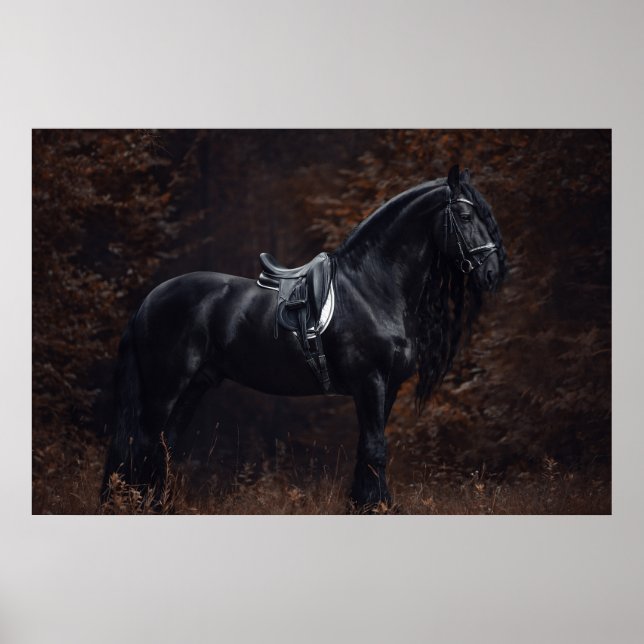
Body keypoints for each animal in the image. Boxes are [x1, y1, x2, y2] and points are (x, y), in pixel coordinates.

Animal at [101, 164, 507, 510]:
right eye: (466, 216)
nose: (492, 272)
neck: (372, 287)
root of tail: (149, 301)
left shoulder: (386, 387)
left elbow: (368, 447)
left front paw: (364, 505)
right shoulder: (370, 381)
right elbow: (376, 447)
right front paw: (378, 507)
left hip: (193, 387)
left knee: (163, 446)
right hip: (165, 388)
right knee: (144, 444)